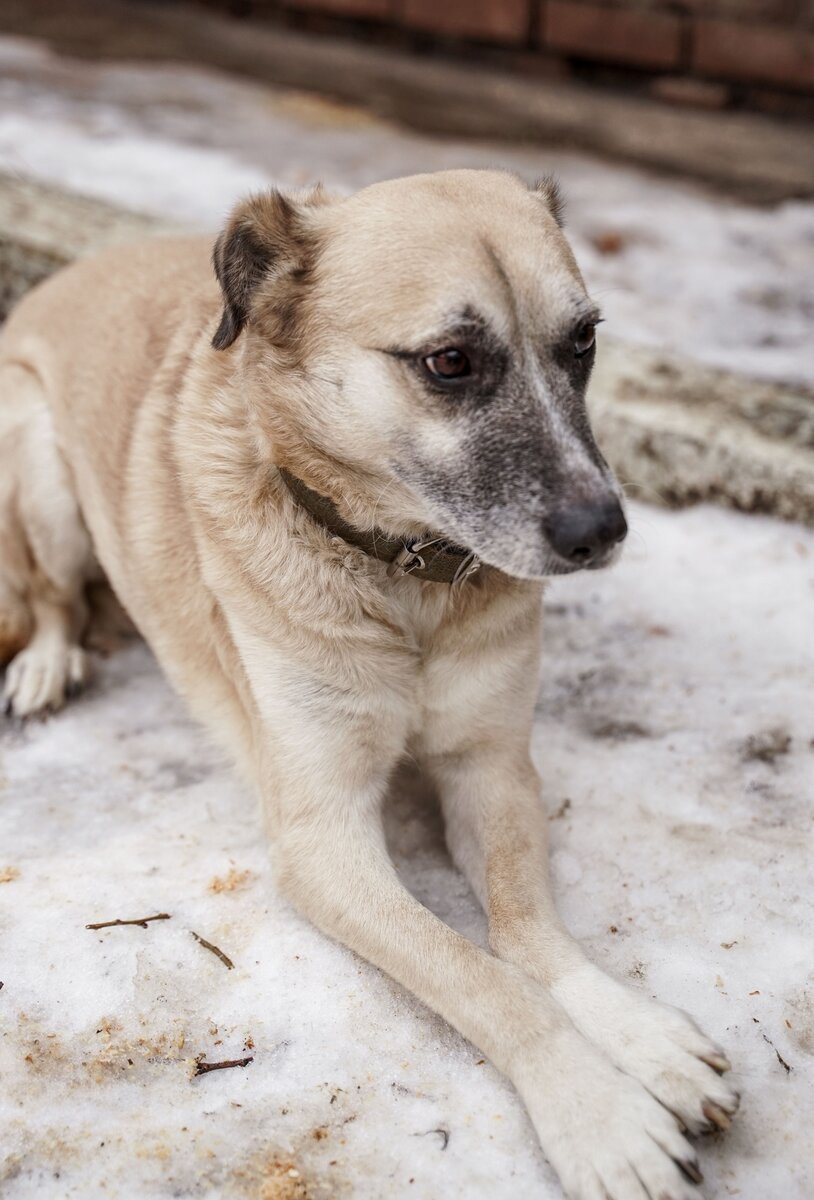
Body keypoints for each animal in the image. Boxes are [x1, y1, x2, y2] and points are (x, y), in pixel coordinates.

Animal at [0, 171, 739, 1200]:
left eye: (584, 342)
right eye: (450, 361)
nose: (602, 531)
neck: (405, 578)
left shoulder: (492, 769)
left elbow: (527, 929)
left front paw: (637, 1034)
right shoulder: (324, 839)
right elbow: (477, 974)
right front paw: (598, 1112)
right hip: (34, 464)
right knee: (50, 594)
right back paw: (46, 660)